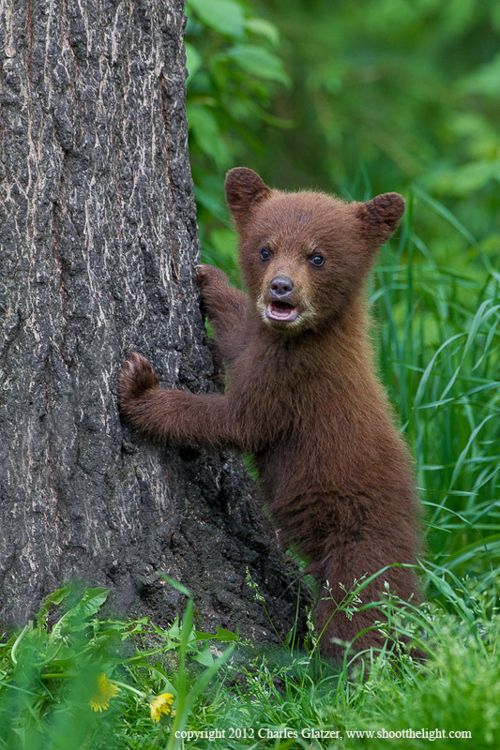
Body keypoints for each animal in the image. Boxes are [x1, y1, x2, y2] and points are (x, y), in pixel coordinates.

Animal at [118, 167, 421, 660]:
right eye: (265, 249)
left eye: (317, 257)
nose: (281, 287)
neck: (304, 337)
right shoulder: (262, 347)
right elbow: (240, 335)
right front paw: (210, 282)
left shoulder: (292, 383)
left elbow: (234, 421)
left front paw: (139, 389)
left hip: (357, 553)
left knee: (359, 621)